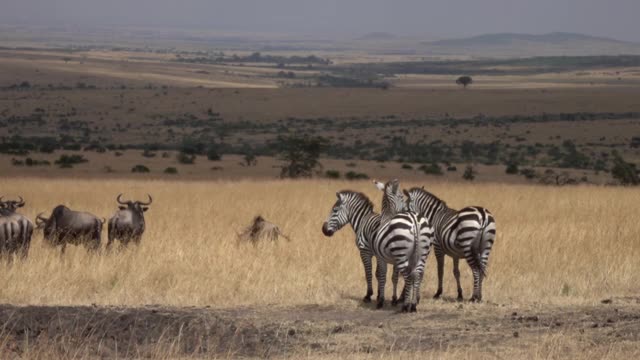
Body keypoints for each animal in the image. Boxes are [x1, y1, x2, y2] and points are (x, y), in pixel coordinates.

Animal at [372, 180, 432, 312]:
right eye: (401, 197)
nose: (406, 209)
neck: (387, 216)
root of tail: (414, 219)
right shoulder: (396, 261)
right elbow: (394, 277)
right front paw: (395, 299)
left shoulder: (380, 257)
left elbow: (382, 276)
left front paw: (381, 301)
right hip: (420, 254)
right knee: (417, 274)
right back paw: (413, 305)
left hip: (401, 253)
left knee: (409, 277)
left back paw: (406, 306)